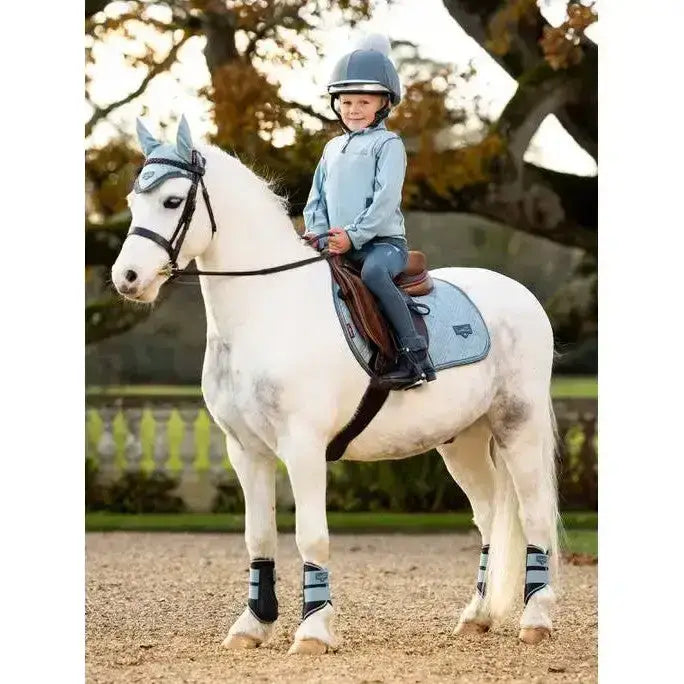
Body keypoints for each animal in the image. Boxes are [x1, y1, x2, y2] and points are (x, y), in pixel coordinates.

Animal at [111, 116, 561, 655]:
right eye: (133, 201)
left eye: (173, 201)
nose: (126, 278)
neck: (267, 307)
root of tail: (520, 295)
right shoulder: (246, 451)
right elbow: (259, 538)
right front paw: (252, 625)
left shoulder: (302, 447)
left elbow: (312, 536)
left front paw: (313, 630)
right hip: (462, 441)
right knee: (490, 514)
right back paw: (477, 615)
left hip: (519, 427)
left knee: (534, 514)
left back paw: (537, 619)